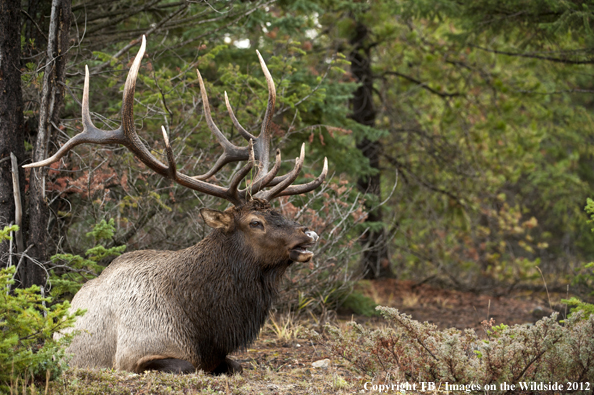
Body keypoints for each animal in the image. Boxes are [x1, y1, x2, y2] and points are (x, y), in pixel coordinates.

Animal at [24, 36, 328, 374]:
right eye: (255, 222)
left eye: (279, 212)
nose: (307, 235)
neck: (203, 324)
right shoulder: (135, 354)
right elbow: (188, 365)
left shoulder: (219, 354)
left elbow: (236, 364)